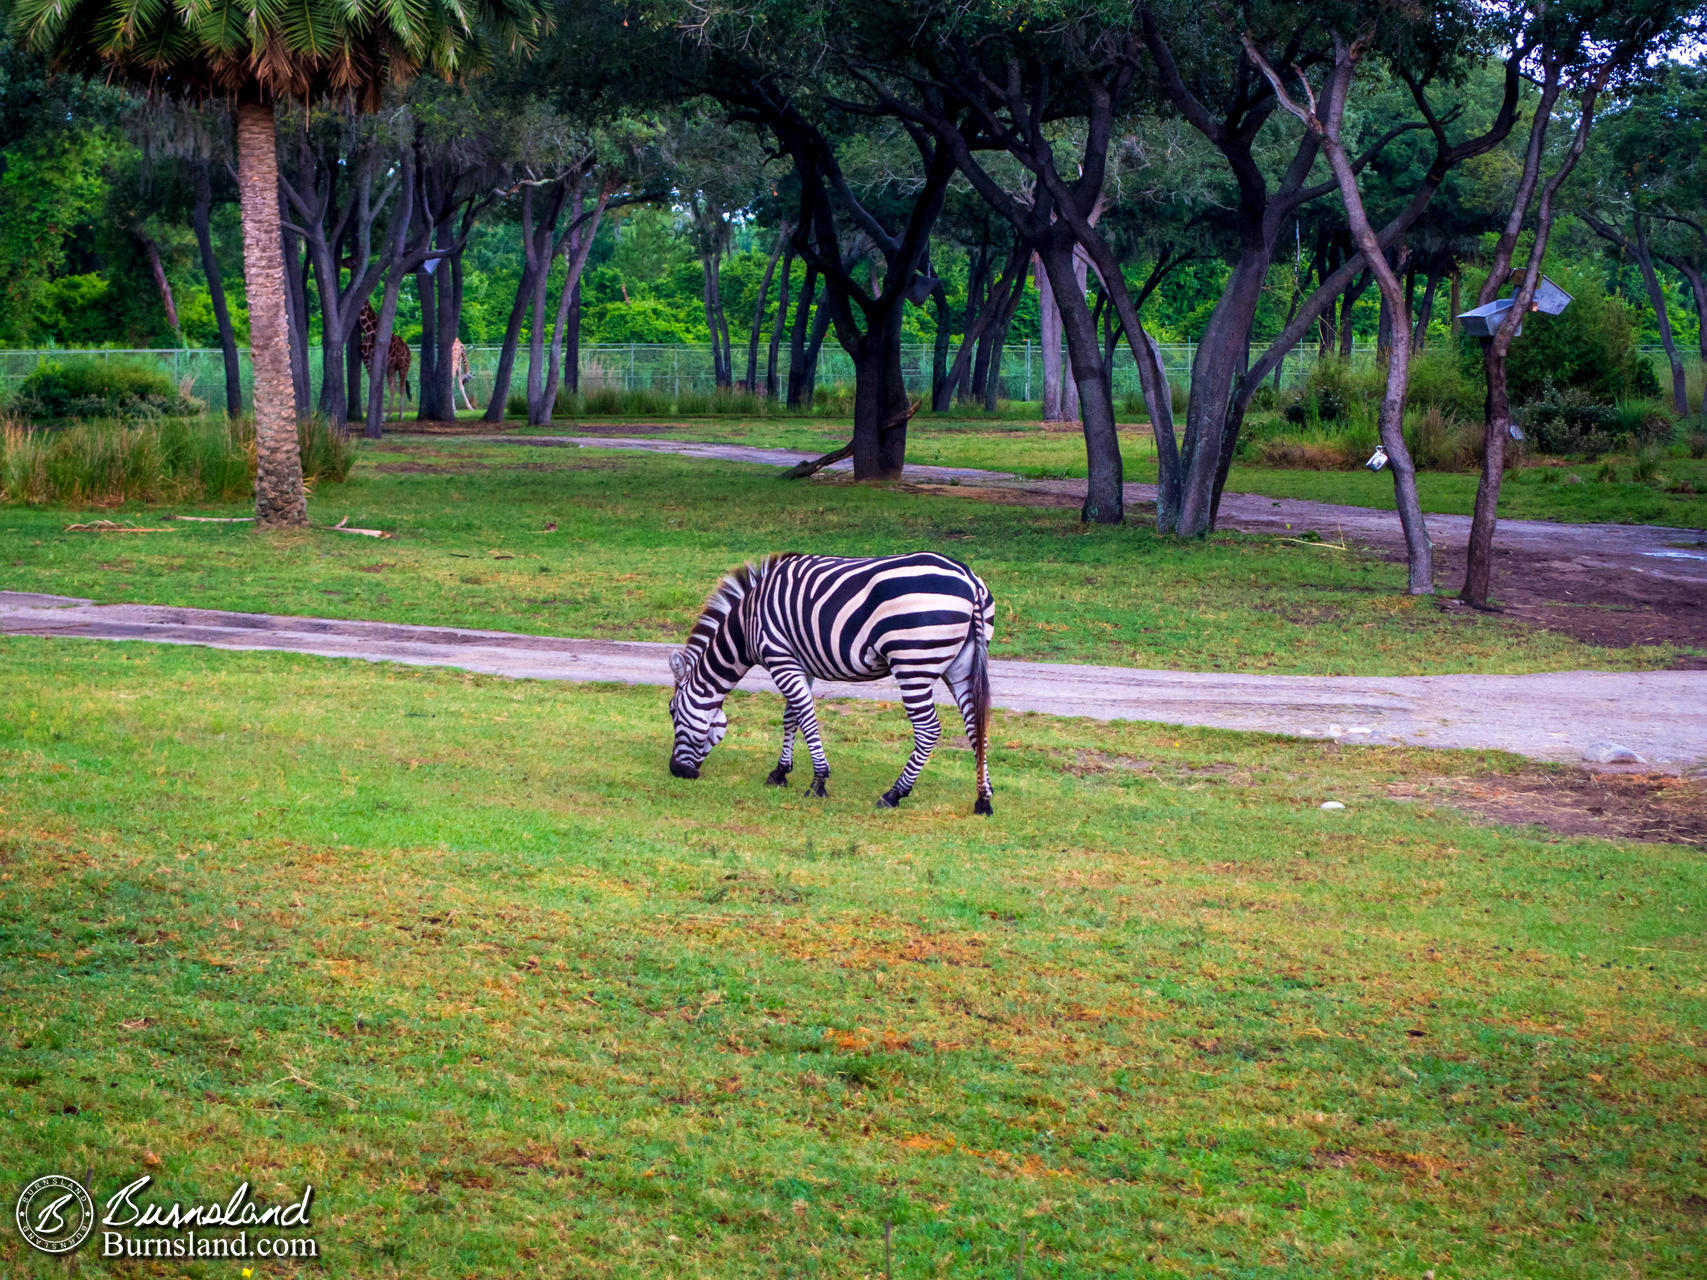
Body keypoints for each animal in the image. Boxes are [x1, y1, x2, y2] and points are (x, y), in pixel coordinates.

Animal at [658, 549, 996, 812]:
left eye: (672, 711)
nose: (676, 771)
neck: (747, 622)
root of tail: (968, 579)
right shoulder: (799, 664)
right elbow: (791, 716)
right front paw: (780, 772)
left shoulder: (780, 658)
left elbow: (806, 717)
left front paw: (818, 781)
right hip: (961, 666)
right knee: (976, 725)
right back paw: (984, 798)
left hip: (913, 663)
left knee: (928, 729)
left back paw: (893, 794)